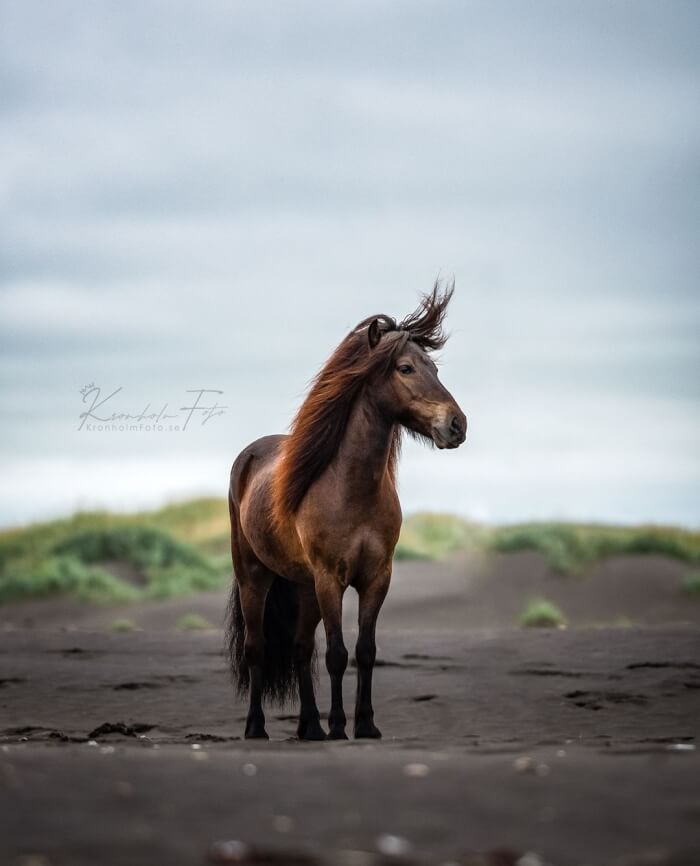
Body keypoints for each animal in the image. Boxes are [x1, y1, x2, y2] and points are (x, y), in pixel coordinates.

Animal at [227, 280, 468, 740]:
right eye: (405, 368)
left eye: (435, 368)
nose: (457, 425)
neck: (352, 491)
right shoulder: (330, 579)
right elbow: (338, 654)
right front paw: (340, 725)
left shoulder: (376, 578)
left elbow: (365, 650)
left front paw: (367, 725)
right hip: (256, 576)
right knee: (257, 649)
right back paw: (256, 727)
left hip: (302, 585)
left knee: (300, 649)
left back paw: (309, 728)